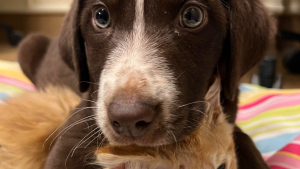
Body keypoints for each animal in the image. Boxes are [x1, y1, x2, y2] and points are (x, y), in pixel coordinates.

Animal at [17, 0, 276, 168]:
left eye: (192, 16)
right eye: (101, 16)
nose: (129, 118)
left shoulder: (227, 122)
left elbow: (244, 142)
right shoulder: (75, 130)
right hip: (28, 45)